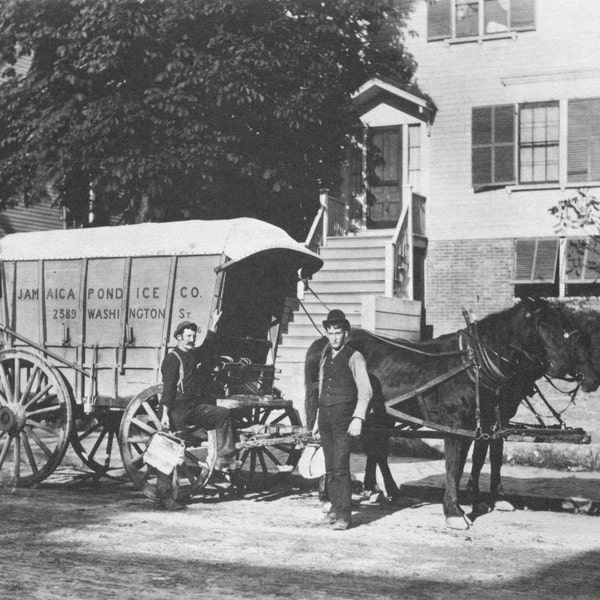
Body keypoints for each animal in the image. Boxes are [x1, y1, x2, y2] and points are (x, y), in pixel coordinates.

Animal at [304, 300, 572, 528]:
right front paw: (455, 512)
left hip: (375, 416)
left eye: (563, 327)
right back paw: (328, 497)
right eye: (541, 325)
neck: (474, 363)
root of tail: (322, 343)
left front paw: (481, 501)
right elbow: (454, 467)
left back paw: (384, 491)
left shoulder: (482, 425)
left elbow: (479, 460)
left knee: (374, 449)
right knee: (331, 446)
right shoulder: (456, 426)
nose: (563, 366)